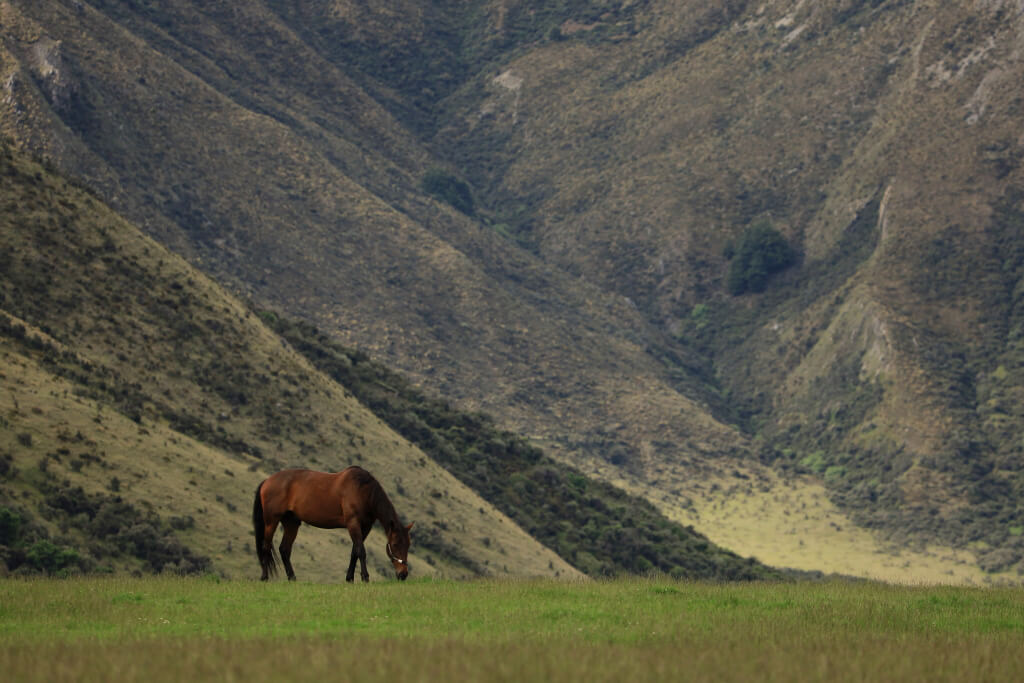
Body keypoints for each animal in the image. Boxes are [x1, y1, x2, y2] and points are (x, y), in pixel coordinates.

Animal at [252, 466, 413, 582]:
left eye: (408, 545)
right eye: (395, 544)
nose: (403, 574)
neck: (363, 491)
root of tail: (267, 481)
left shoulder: (365, 527)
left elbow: (354, 551)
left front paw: (349, 578)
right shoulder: (353, 523)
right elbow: (361, 551)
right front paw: (365, 577)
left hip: (291, 523)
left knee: (284, 549)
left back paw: (292, 578)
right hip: (271, 521)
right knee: (266, 546)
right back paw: (264, 577)